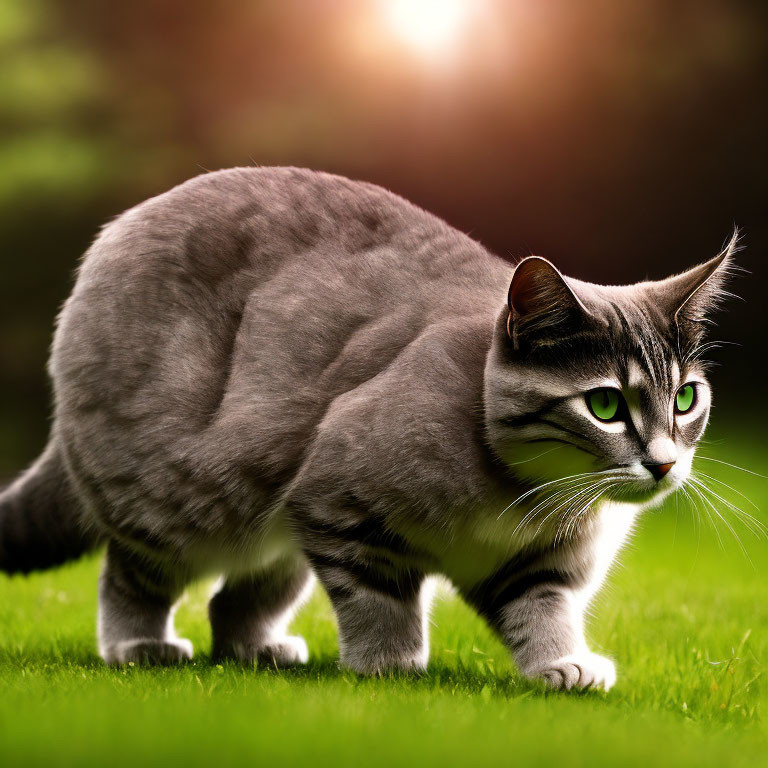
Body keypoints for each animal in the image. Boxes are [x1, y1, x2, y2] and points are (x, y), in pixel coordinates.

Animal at [0, 166, 736, 688]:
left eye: (685, 397)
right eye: (606, 405)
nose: (664, 462)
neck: (532, 501)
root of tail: (106, 245)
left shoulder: (541, 564)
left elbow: (541, 608)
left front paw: (563, 662)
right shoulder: (336, 497)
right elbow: (378, 597)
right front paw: (388, 664)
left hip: (271, 533)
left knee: (235, 601)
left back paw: (260, 650)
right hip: (174, 500)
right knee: (127, 575)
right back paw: (139, 644)